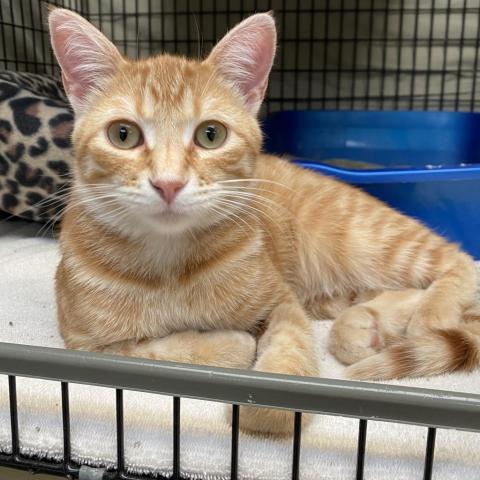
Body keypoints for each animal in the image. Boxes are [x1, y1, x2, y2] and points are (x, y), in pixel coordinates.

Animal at [50, 8, 478, 436]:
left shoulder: (282, 302)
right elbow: (148, 353)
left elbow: (280, 379)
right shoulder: (84, 345)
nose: (168, 183)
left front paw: (262, 389)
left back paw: (430, 318)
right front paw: (226, 343)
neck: (169, 267)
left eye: (210, 135)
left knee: (461, 262)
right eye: (123, 134)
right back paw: (365, 325)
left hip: (364, 239)